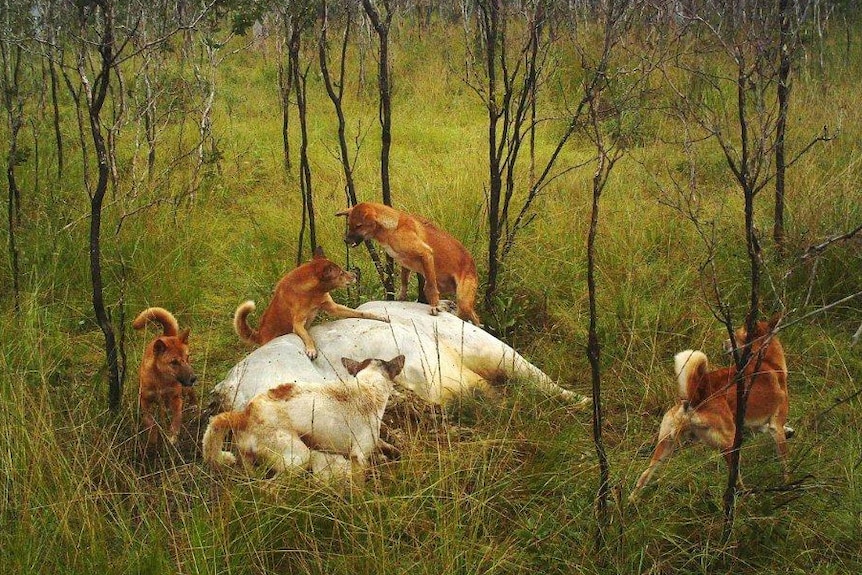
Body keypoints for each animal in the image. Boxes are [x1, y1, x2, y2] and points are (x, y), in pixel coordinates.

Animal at [132, 308, 197, 448]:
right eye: (174, 362)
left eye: (187, 357)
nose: (194, 378)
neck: (161, 381)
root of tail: (167, 335)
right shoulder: (144, 401)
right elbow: (150, 422)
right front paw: (153, 439)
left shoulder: (176, 398)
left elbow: (177, 418)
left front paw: (172, 435)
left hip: (185, 389)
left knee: (191, 393)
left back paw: (194, 405)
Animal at [204, 358, 406, 480]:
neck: (367, 386)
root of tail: (245, 414)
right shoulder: (359, 455)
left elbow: (388, 446)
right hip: (299, 457)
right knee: (269, 488)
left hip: (251, 459)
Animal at [233, 246, 388, 360]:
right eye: (341, 274)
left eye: (343, 270)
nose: (355, 275)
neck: (312, 293)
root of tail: (259, 334)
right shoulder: (297, 324)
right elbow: (308, 336)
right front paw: (311, 349)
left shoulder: (333, 308)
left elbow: (360, 312)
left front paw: (379, 316)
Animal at [632, 312, 792, 502]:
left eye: (735, 335)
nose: (723, 342)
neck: (767, 361)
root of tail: (693, 400)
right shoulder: (776, 427)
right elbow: (784, 461)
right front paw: (788, 485)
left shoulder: (757, 424)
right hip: (731, 443)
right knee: (735, 479)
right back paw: (746, 497)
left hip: (665, 446)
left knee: (643, 476)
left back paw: (630, 502)